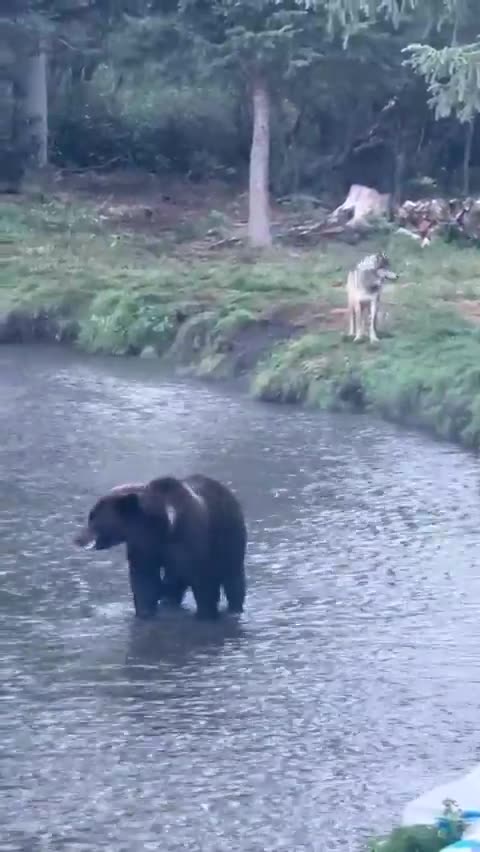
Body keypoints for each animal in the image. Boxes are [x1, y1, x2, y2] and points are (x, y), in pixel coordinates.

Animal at [74, 474, 247, 620]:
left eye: (93, 517)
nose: (77, 539)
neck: (162, 527)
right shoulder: (144, 547)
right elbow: (144, 581)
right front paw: (145, 612)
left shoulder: (191, 542)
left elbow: (204, 584)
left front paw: (205, 614)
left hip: (230, 536)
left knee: (233, 577)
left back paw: (234, 609)